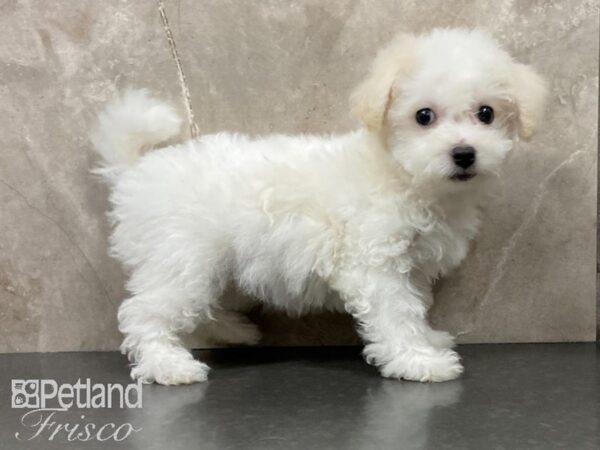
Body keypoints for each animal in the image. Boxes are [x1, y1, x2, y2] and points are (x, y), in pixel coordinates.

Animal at [91, 29, 548, 384]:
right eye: (424, 116)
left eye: (486, 114)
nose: (464, 154)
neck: (404, 175)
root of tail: (135, 170)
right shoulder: (375, 262)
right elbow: (396, 313)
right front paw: (419, 361)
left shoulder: (412, 265)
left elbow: (414, 307)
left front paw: (428, 339)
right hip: (181, 259)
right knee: (146, 313)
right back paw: (167, 365)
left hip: (215, 265)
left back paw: (236, 331)